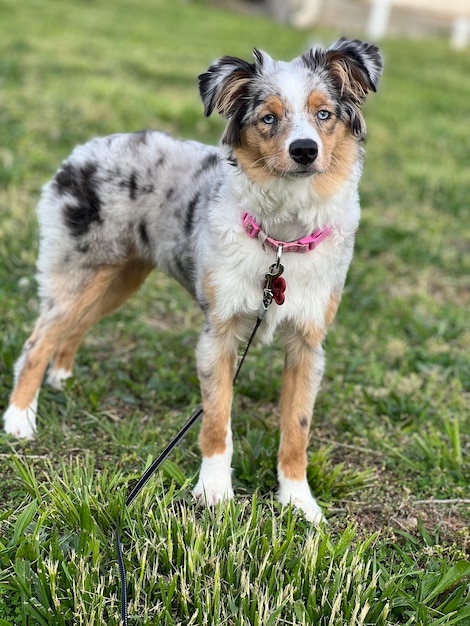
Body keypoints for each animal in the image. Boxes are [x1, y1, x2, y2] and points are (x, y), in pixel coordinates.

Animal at [2, 39, 382, 520]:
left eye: (324, 114)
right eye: (268, 118)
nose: (304, 150)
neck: (282, 239)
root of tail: (84, 149)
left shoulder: (308, 342)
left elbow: (297, 429)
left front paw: (298, 501)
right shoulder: (218, 333)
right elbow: (217, 418)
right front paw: (215, 491)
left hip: (119, 280)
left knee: (73, 327)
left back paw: (61, 376)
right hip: (81, 272)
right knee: (37, 341)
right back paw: (19, 420)